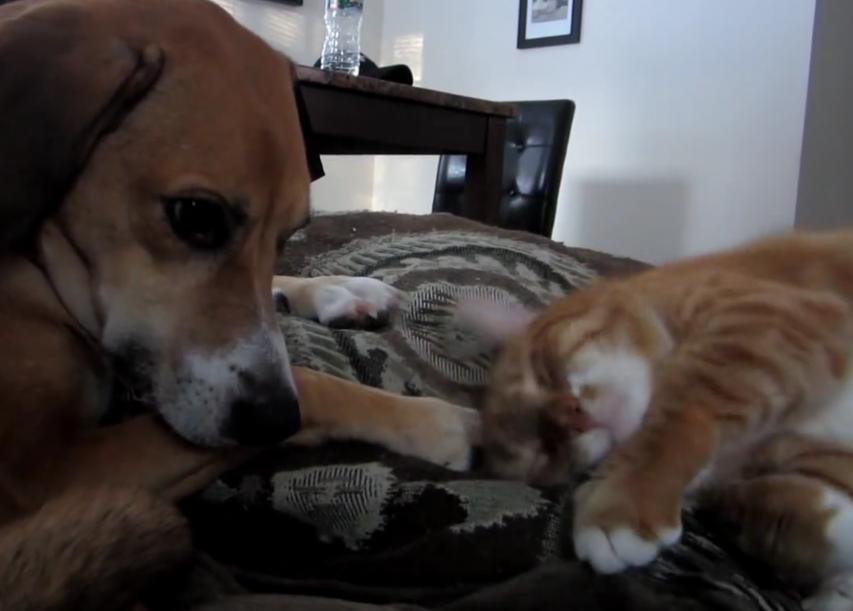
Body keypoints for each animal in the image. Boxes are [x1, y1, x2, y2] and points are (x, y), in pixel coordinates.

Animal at [0, 1, 480, 608]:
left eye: (289, 233)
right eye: (195, 215)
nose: (273, 416)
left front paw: (345, 290)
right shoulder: (44, 474)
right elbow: (313, 385)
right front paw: (435, 420)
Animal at [476, 230, 852, 611]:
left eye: (545, 372)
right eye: (544, 453)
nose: (575, 421)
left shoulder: (766, 321)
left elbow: (673, 420)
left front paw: (621, 505)